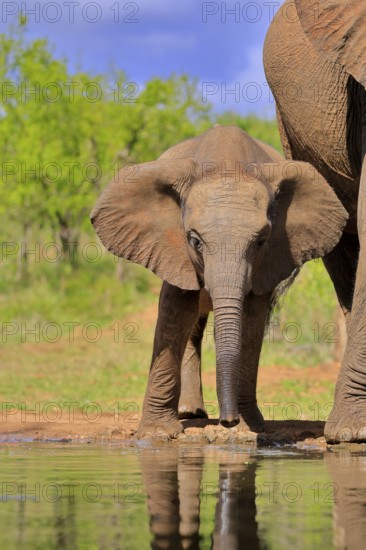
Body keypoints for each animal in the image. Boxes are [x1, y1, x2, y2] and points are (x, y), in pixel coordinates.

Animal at [90, 126, 348, 440]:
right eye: (195, 241)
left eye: (261, 241)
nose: (228, 421)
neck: (228, 165)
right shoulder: (172, 251)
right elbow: (174, 313)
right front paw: (157, 434)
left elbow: (252, 319)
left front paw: (250, 427)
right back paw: (190, 413)